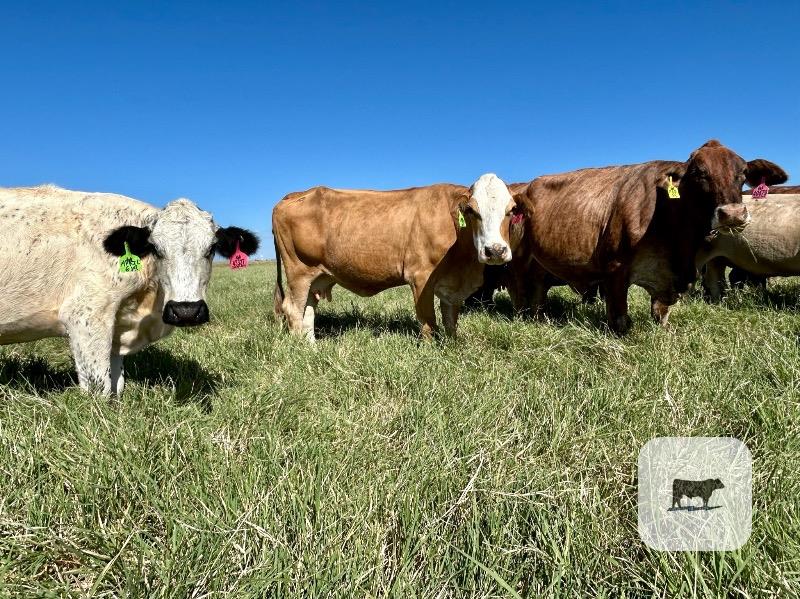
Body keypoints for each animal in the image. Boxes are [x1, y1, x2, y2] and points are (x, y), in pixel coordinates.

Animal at [0, 185, 259, 395]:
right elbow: (99, 389)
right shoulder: (85, 317)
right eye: (155, 248)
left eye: (212, 248)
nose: (186, 311)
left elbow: (117, 386)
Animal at [272, 174, 523, 341]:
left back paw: (312, 347)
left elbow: (450, 319)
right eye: (471, 210)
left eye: (511, 210)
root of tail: (295, 195)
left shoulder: (452, 285)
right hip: (298, 272)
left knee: (308, 310)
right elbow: (429, 322)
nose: (495, 250)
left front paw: (452, 346)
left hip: (317, 276)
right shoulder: (421, 277)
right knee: (293, 309)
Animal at [494, 140, 788, 333]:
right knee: (518, 289)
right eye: (699, 173)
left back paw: (539, 318)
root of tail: (523, 188)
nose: (733, 213)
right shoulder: (615, 270)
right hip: (517, 259)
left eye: (742, 174)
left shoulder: (667, 278)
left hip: (539, 265)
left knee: (537, 290)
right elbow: (620, 320)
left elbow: (660, 313)